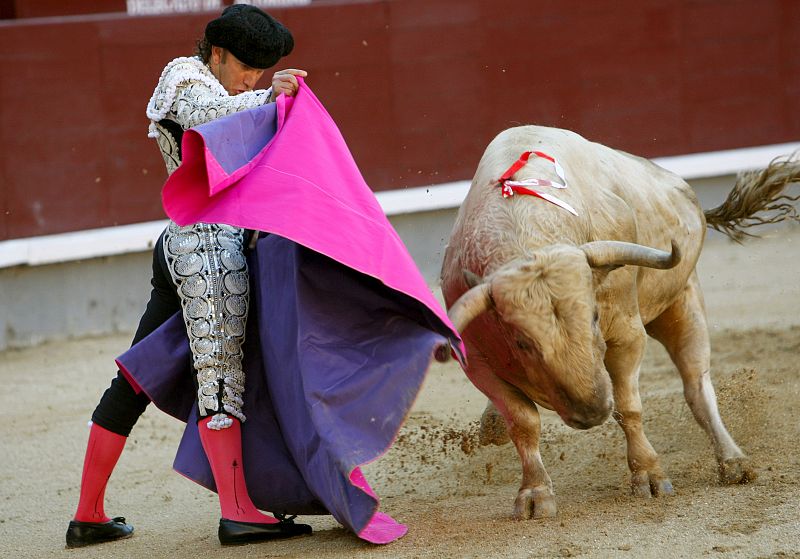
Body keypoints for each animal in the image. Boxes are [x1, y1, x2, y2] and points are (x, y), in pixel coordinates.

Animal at [440, 127, 796, 520]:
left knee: (697, 385)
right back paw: (493, 425)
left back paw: (733, 462)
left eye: (595, 316)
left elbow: (628, 407)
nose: (591, 410)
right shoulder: (476, 361)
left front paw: (650, 476)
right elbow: (524, 421)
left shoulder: (627, 334)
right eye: (521, 342)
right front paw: (535, 493)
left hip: (684, 301)